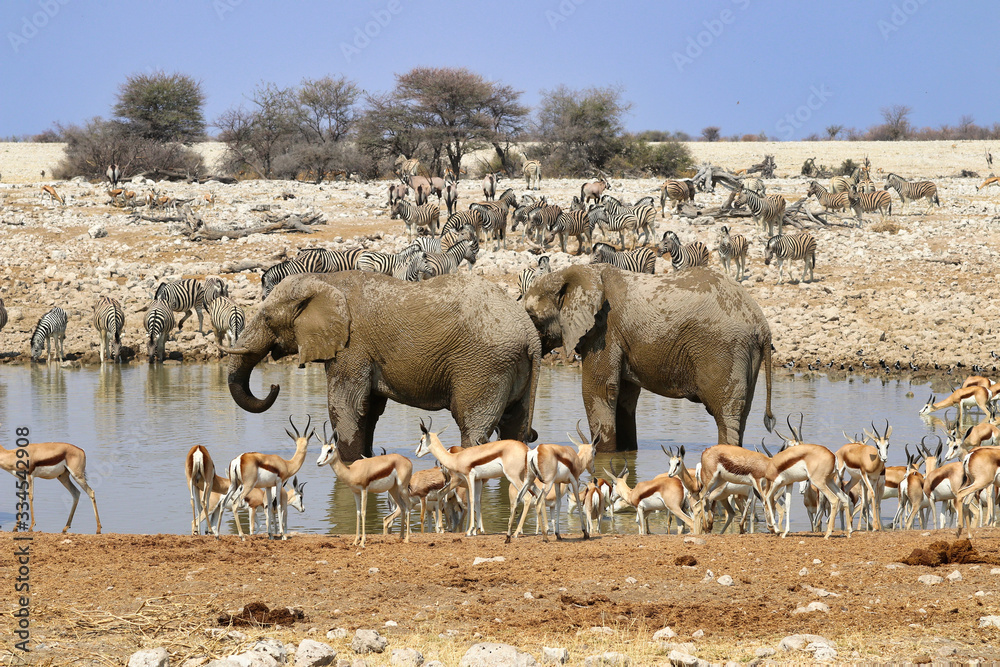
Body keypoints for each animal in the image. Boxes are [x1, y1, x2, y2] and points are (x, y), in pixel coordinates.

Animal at [225, 271, 541, 461]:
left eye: (267, 318)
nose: (274, 385)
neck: (324, 279)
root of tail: (531, 334)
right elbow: (369, 409)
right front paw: (368, 460)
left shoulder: (352, 346)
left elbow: (345, 405)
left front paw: (348, 463)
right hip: (510, 365)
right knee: (513, 426)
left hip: (484, 365)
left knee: (473, 427)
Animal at [523, 265, 775, 451]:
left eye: (532, 317)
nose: (532, 435)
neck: (576, 272)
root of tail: (762, 324)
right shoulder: (619, 337)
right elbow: (624, 395)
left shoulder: (604, 331)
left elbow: (598, 390)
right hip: (746, 352)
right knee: (743, 411)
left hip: (723, 347)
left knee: (725, 411)